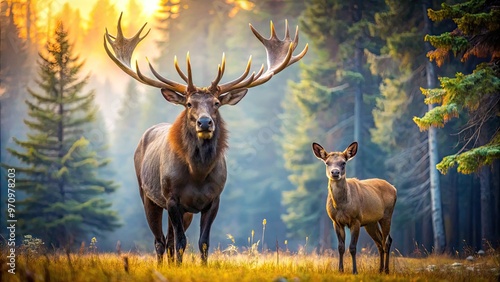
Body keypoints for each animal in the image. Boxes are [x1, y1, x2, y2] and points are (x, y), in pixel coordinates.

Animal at [312, 142, 398, 274]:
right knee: (379, 242)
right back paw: (380, 269)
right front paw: (340, 270)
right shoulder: (336, 221)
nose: (335, 172)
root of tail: (394, 188)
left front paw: (355, 271)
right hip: (370, 222)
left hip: (387, 214)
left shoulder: (356, 220)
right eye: (327, 162)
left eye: (343, 163)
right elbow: (340, 247)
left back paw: (386, 270)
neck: (341, 205)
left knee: (387, 241)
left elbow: (352, 247)